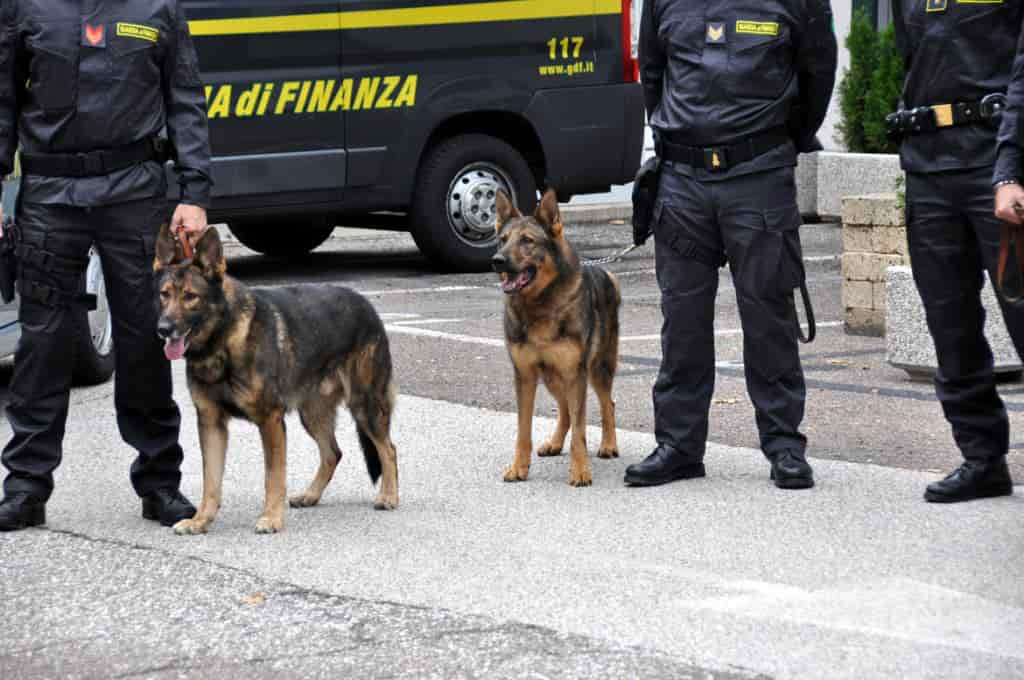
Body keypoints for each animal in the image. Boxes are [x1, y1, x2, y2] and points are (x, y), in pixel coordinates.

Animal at [153, 225, 397, 532]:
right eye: (164, 294)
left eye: (190, 296)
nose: (163, 329)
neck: (222, 340)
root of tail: (366, 304)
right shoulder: (211, 423)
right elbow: (211, 481)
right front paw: (200, 521)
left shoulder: (269, 421)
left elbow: (273, 476)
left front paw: (270, 517)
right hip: (313, 414)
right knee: (333, 453)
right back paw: (310, 495)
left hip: (365, 407)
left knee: (388, 449)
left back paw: (389, 496)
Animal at [491, 191, 618, 485]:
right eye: (503, 239)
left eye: (527, 240)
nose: (497, 260)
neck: (539, 304)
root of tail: (605, 273)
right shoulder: (526, 375)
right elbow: (523, 430)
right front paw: (519, 467)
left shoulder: (575, 373)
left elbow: (580, 432)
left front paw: (580, 470)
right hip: (552, 376)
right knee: (565, 412)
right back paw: (555, 443)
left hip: (596, 370)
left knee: (607, 404)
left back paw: (608, 444)